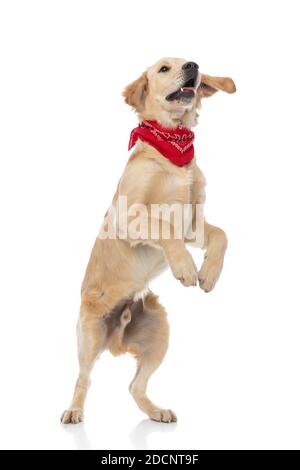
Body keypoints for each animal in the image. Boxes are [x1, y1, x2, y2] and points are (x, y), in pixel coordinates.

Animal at [60, 57, 234, 424]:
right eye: (164, 68)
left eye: (190, 61)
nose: (193, 66)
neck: (173, 144)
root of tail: (117, 337)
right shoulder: (128, 216)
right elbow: (163, 229)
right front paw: (186, 269)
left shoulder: (192, 224)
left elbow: (221, 235)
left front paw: (209, 274)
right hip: (89, 335)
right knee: (84, 378)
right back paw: (74, 411)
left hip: (158, 332)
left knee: (134, 386)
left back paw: (156, 411)